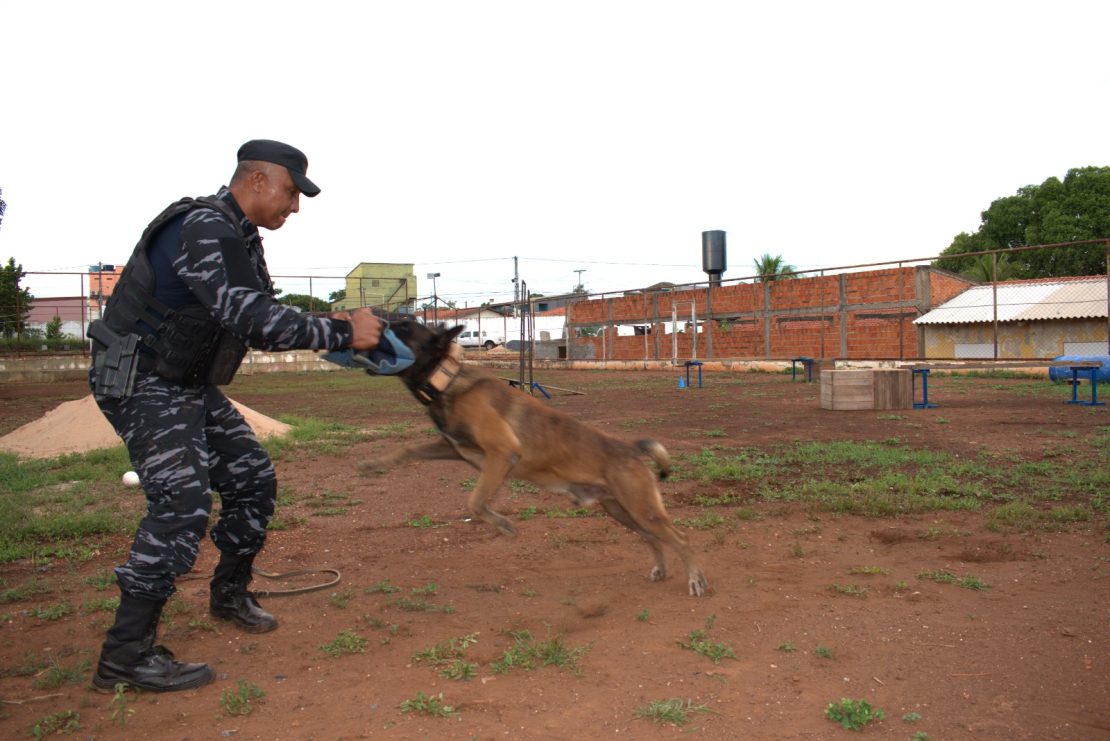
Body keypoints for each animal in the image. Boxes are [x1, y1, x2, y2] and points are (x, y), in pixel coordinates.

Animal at [359, 319, 710, 594]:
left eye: (404, 327)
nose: (370, 324)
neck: (445, 381)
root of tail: (630, 449)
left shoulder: (502, 453)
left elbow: (475, 502)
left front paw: (503, 524)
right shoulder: (454, 448)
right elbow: (408, 450)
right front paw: (374, 463)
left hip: (641, 509)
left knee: (680, 537)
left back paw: (695, 579)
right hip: (621, 511)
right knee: (653, 539)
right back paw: (662, 569)